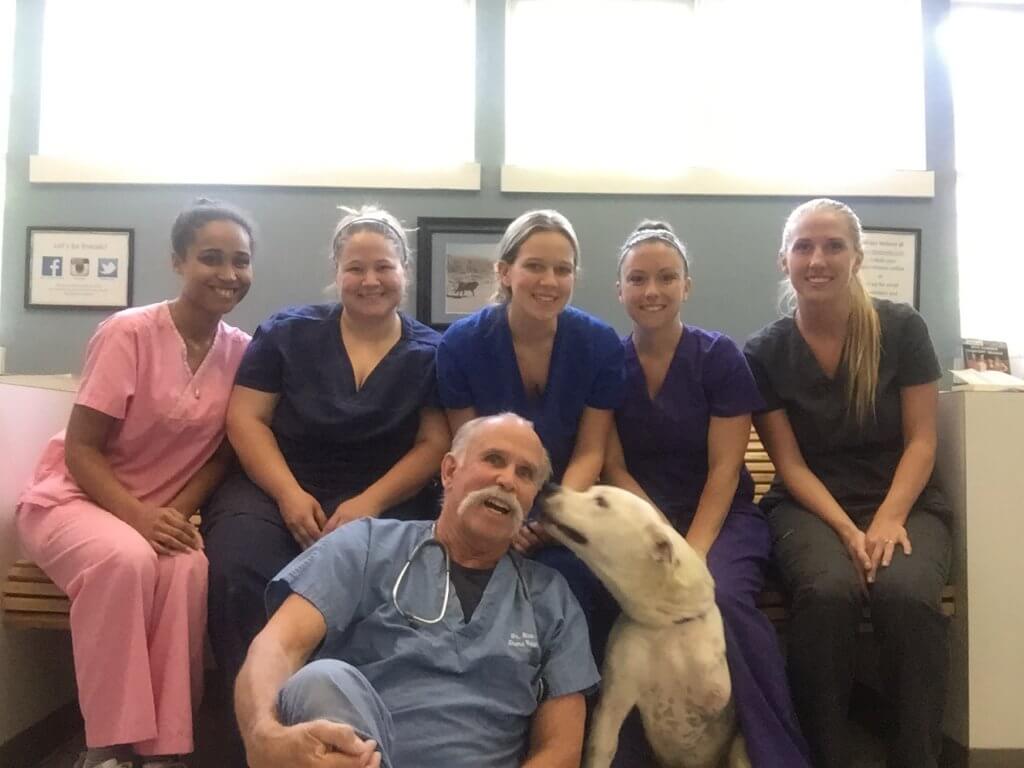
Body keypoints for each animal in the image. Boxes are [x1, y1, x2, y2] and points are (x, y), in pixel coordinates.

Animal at [540, 487, 749, 768]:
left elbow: (716, 697)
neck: (665, 627)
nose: (549, 487)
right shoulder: (615, 697)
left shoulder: (715, 690)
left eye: (601, 501)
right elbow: (602, 745)